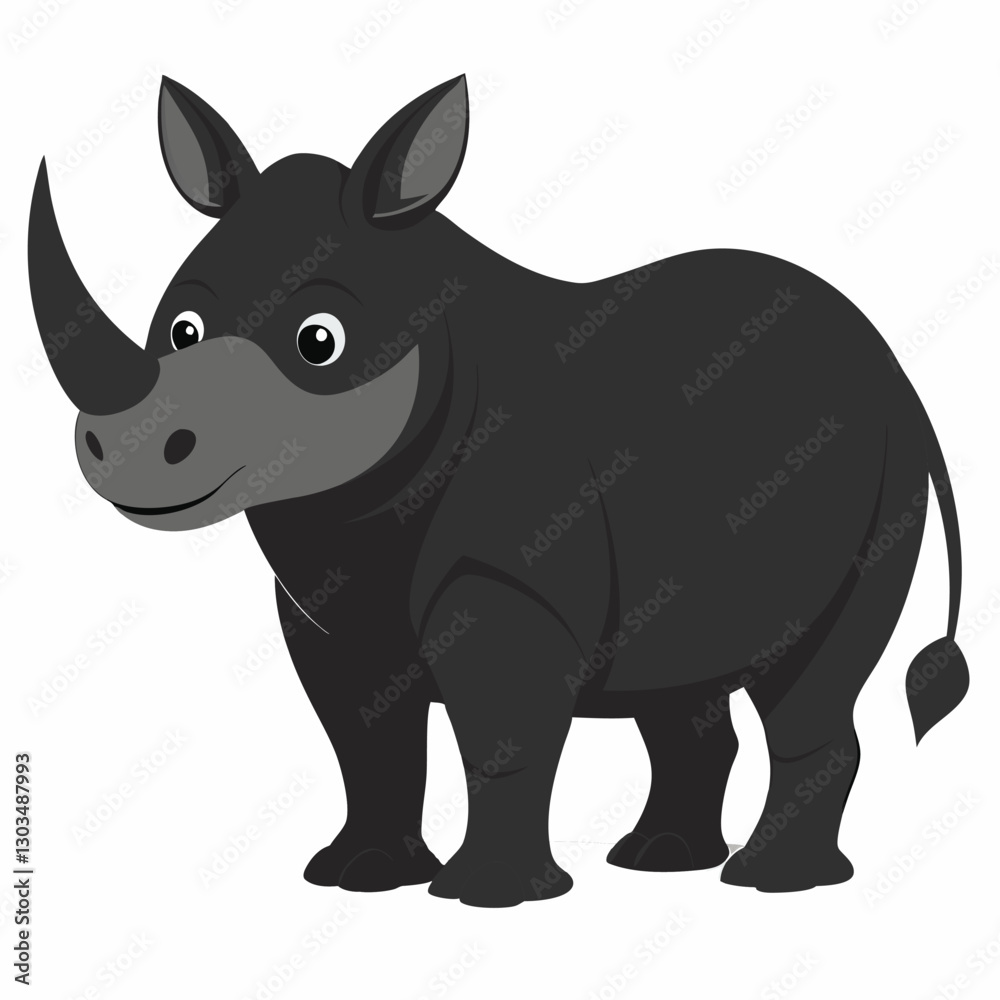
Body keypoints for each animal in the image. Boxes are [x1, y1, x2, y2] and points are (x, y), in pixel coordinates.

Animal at [29, 74, 969, 907]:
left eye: (319, 342)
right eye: (182, 329)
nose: (126, 445)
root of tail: (893, 366)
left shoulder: (509, 575)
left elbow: (502, 733)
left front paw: (486, 899)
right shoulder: (326, 604)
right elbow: (365, 739)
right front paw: (359, 877)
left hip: (877, 469)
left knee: (812, 679)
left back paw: (770, 884)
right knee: (680, 674)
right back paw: (660, 862)